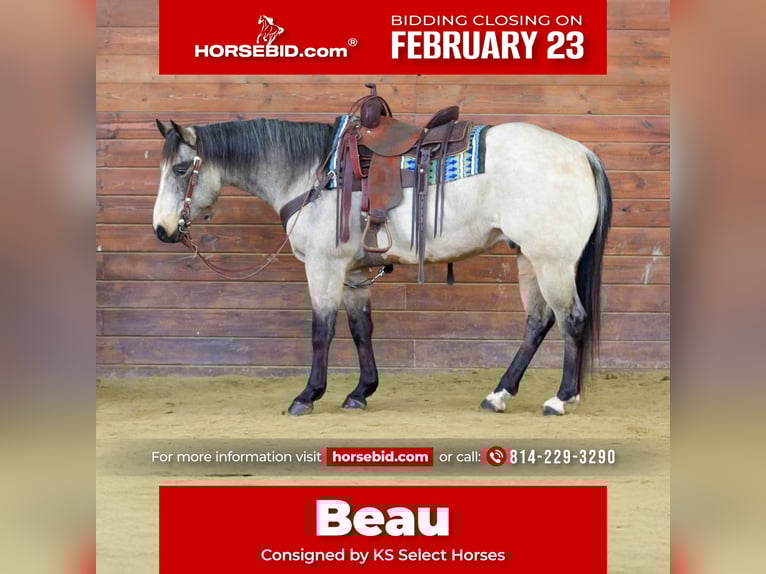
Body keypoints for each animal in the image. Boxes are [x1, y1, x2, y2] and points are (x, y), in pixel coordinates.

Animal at [151, 109, 612, 417]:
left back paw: (561, 398)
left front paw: (307, 395)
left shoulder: (324, 266)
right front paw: (361, 392)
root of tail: (580, 152)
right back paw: (499, 394)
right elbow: (360, 330)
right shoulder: (354, 274)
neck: (315, 174)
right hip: (529, 259)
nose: (162, 228)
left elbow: (322, 331)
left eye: (181, 169)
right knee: (538, 322)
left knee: (571, 319)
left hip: (552, 261)